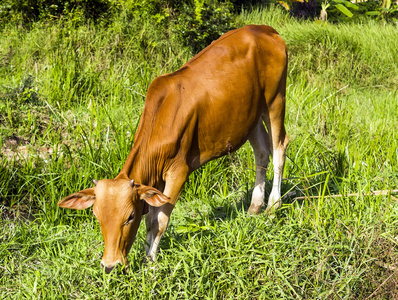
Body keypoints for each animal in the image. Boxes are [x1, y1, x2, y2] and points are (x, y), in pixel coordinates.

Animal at [58, 25, 290, 272]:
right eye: (97, 216)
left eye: (130, 216)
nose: (110, 265)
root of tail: (263, 29)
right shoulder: (154, 182)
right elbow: (150, 220)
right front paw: (146, 256)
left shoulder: (179, 171)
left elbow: (159, 221)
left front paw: (151, 261)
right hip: (250, 116)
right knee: (262, 152)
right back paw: (255, 207)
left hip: (275, 99)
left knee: (279, 148)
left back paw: (273, 206)